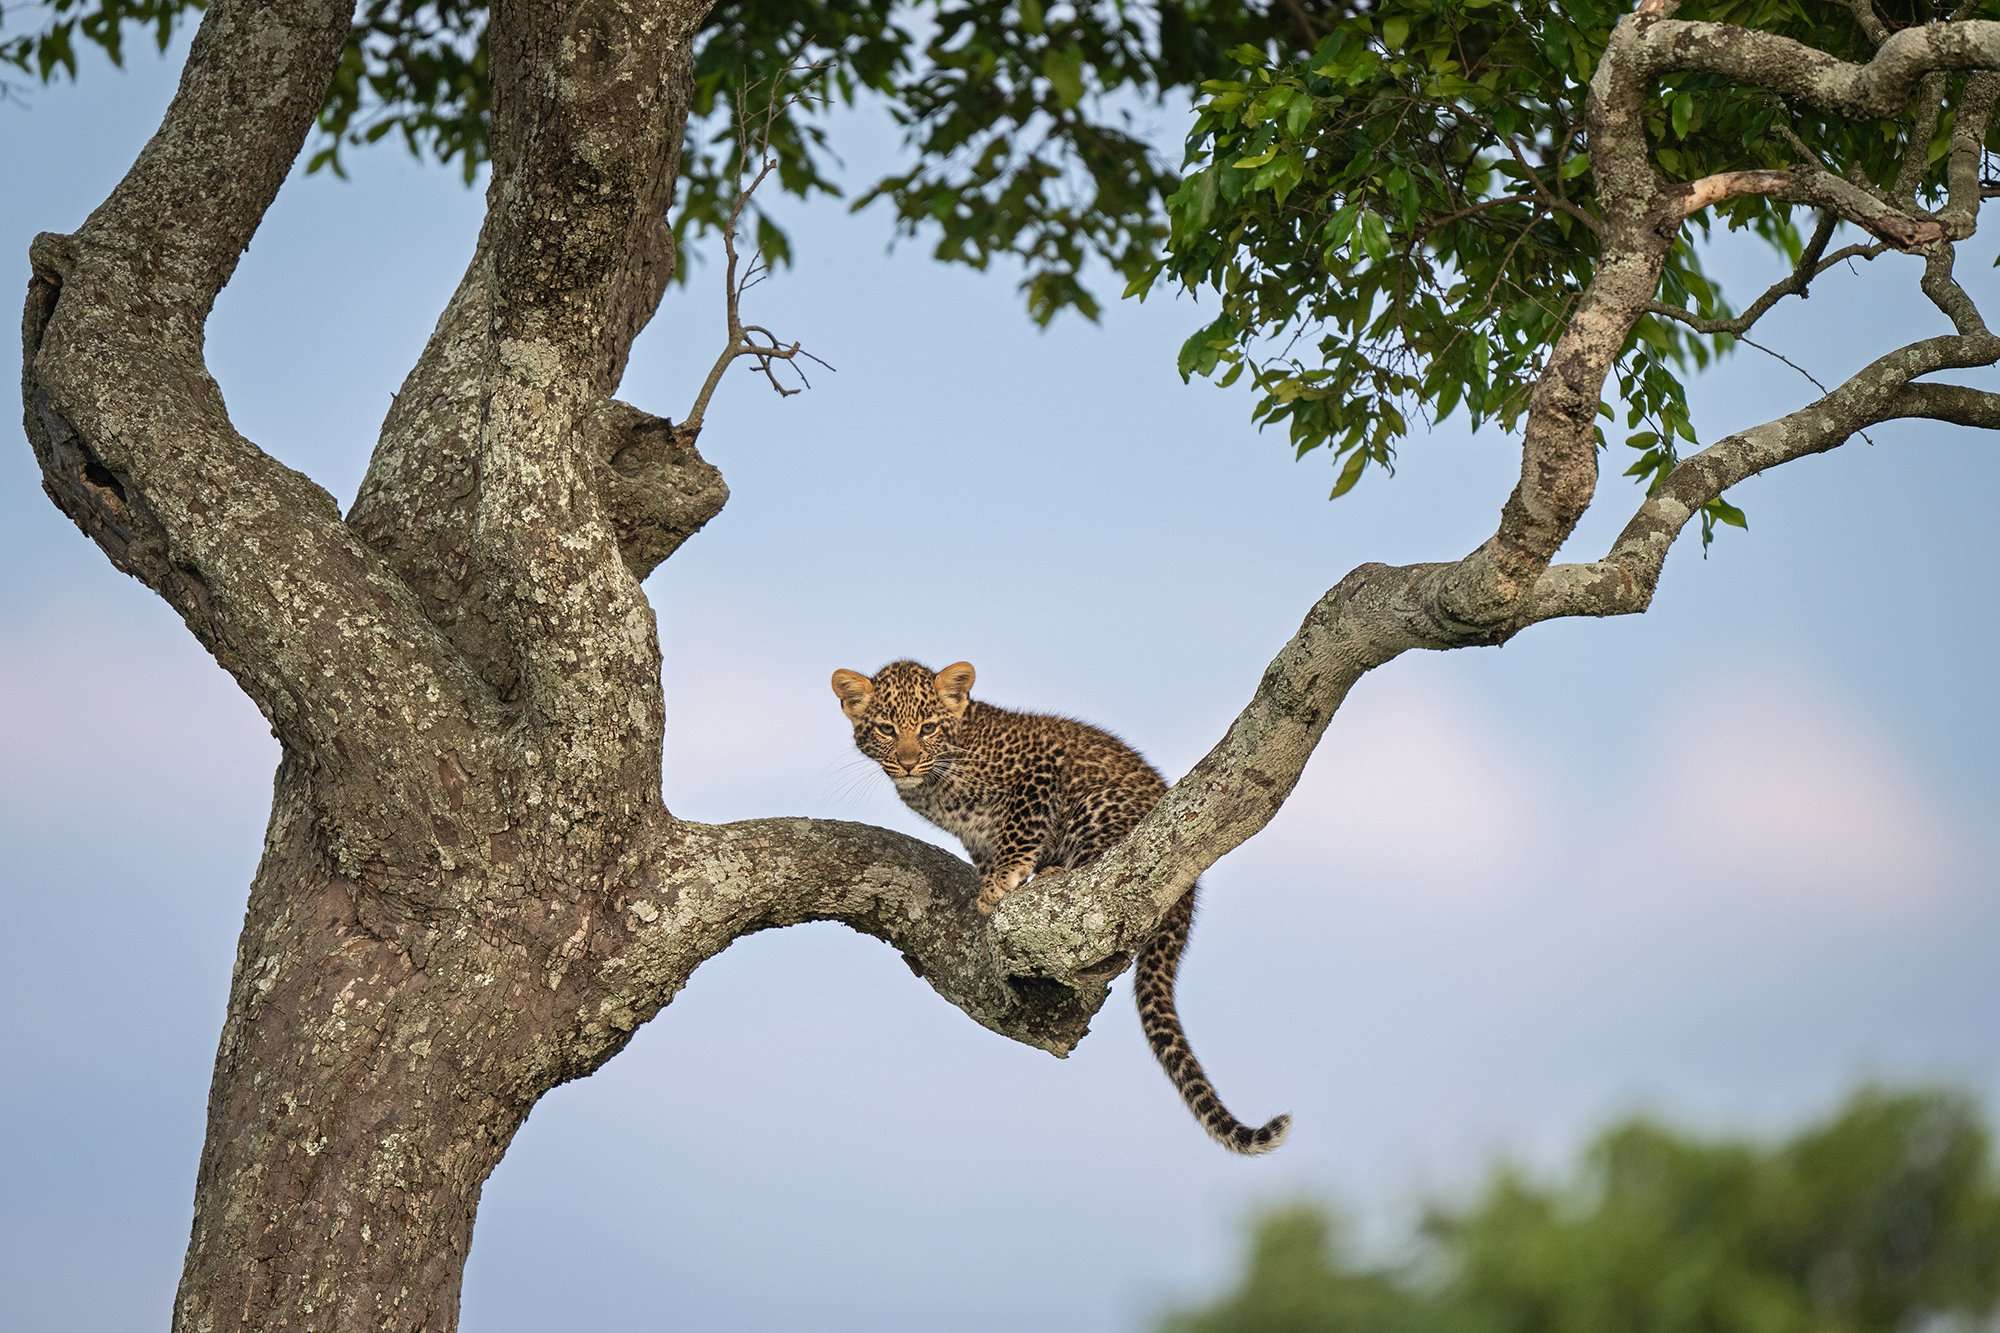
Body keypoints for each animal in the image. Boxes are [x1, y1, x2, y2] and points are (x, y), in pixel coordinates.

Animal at [831, 658, 1290, 1155]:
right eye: (887, 729)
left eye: (929, 727)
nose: (909, 761)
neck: (937, 783)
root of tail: (1189, 896)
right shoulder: (975, 835)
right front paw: (990, 887)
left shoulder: (1038, 768)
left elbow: (1019, 828)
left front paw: (1001, 882)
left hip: (1097, 804)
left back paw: (1056, 874)